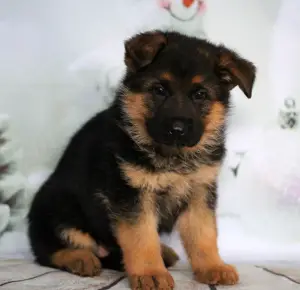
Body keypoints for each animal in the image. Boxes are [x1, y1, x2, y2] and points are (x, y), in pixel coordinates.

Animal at [28, 30, 255, 288]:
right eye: (159, 90)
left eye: (200, 94)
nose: (177, 129)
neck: (172, 157)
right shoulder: (131, 194)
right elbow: (141, 236)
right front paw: (150, 273)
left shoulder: (199, 192)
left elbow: (203, 233)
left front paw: (213, 266)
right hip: (56, 206)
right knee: (48, 250)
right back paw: (80, 259)